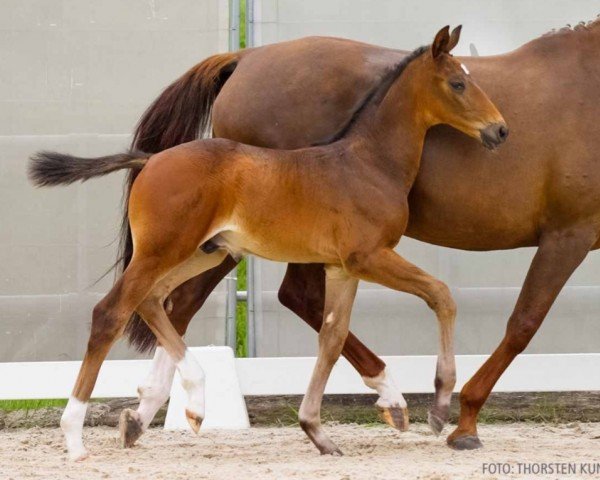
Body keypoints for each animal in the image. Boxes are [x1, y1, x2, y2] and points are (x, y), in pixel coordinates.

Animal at [28, 27, 506, 462]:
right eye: (458, 83)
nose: (500, 130)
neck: (367, 163)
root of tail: (151, 159)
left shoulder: (342, 267)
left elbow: (332, 339)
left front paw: (318, 432)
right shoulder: (369, 256)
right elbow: (440, 296)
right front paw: (439, 407)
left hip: (204, 252)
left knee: (154, 300)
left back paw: (194, 402)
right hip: (163, 249)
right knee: (111, 312)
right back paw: (75, 439)